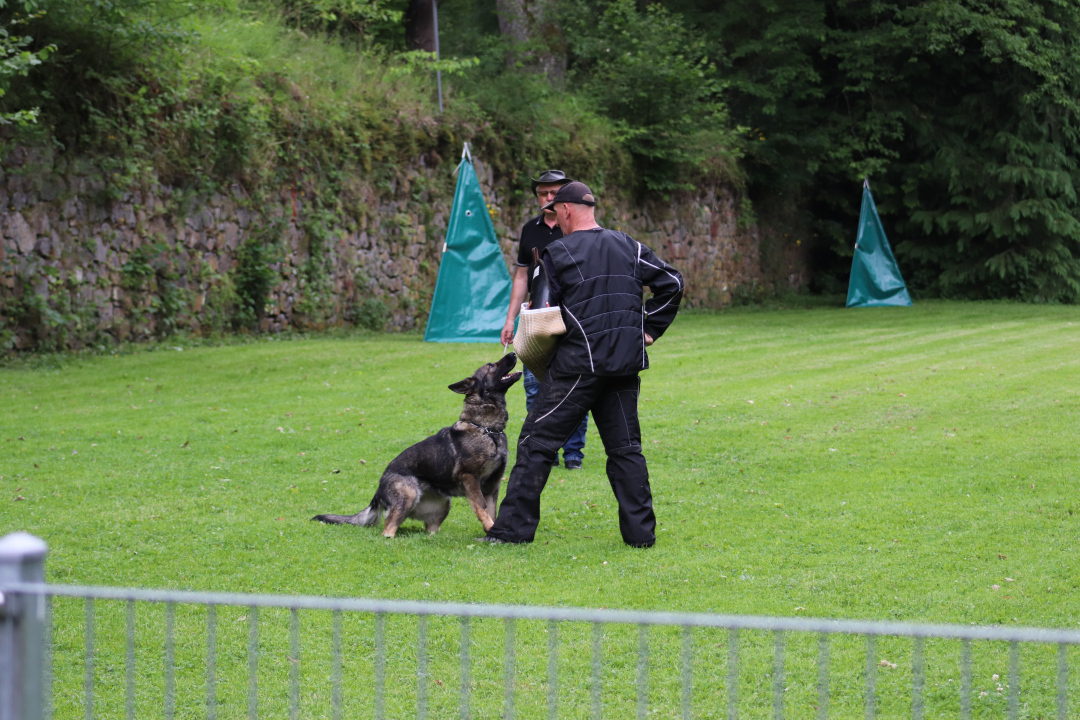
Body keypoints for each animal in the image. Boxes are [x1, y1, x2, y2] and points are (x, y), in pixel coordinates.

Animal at [312, 353, 522, 538]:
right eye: (491, 366)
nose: (513, 352)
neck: (486, 430)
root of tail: (378, 490)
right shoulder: (470, 479)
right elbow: (482, 508)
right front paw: (490, 528)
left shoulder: (492, 486)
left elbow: (492, 510)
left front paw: (492, 531)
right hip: (409, 495)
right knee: (388, 530)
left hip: (444, 503)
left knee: (429, 530)